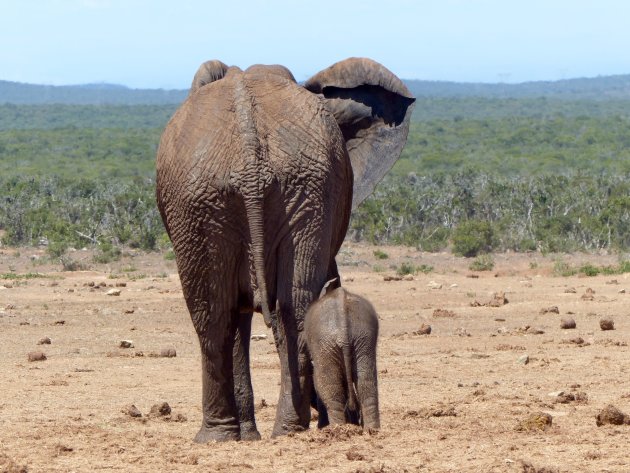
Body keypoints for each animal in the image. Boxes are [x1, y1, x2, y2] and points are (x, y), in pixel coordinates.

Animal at [304, 284, 380, 428]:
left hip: (326, 343)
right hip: (363, 338)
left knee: (331, 386)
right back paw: (372, 430)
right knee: (367, 381)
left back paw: (337, 429)